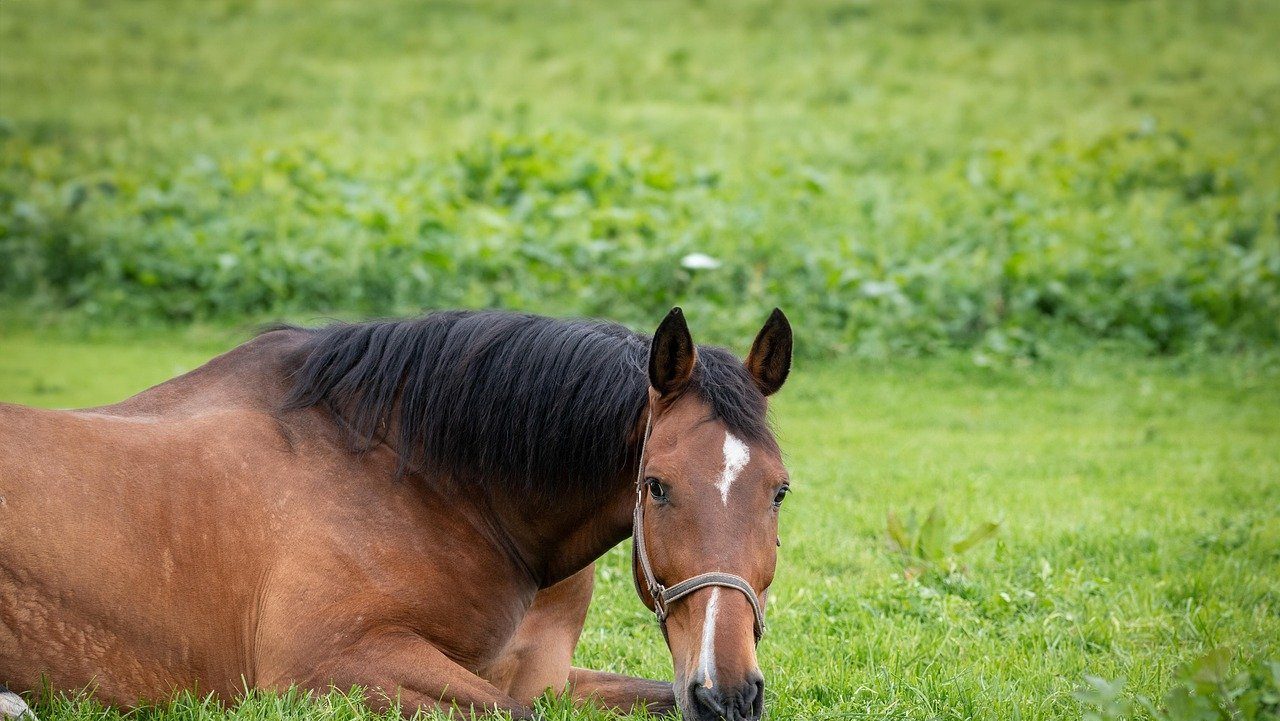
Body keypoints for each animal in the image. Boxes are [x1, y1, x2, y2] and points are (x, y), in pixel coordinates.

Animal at [0, 306, 793, 720]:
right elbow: (519, 715)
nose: (728, 693)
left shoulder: (548, 675)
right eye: (656, 486)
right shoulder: (332, 665)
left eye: (780, 490)